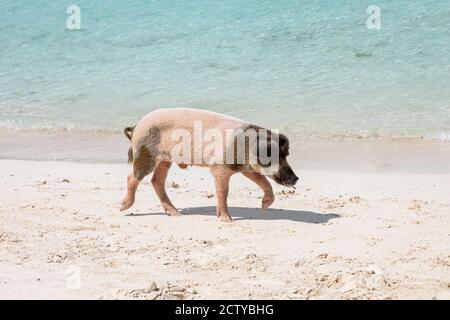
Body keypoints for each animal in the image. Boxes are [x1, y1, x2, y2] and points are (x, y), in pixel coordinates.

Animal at [118, 107, 298, 222]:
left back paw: (176, 214)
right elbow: (223, 191)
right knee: (133, 177)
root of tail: (136, 126)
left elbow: (264, 181)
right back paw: (122, 207)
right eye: (275, 156)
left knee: (157, 180)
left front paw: (263, 206)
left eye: (286, 155)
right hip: (145, 152)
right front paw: (227, 220)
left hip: (165, 159)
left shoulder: (247, 169)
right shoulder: (219, 166)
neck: (246, 149)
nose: (295, 178)